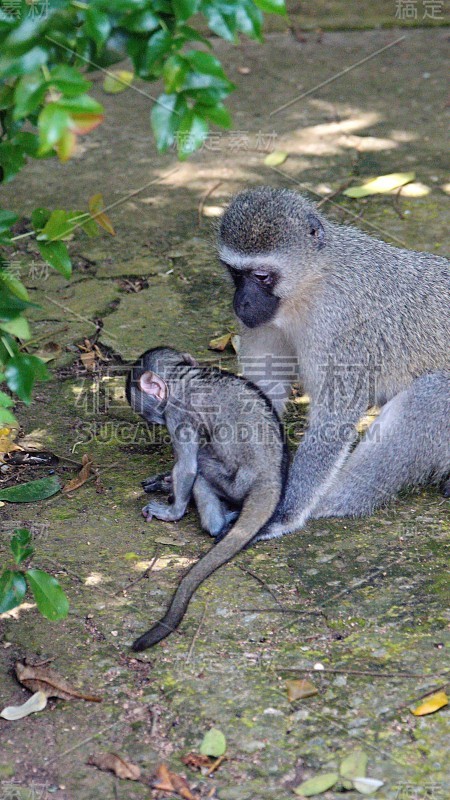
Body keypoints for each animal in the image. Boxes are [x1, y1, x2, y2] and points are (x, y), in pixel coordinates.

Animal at [125, 348, 288, 648]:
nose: (152, 421)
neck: (183, 376)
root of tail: (269, 478)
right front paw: (165, 482)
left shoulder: (177, 414)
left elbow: (188, 466)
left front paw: (172, 511)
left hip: (235, 482)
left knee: (201, 468)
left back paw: (219, 523)